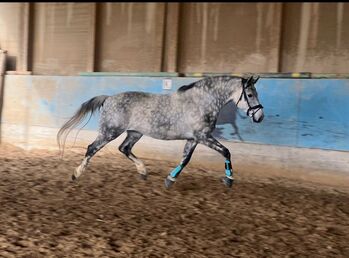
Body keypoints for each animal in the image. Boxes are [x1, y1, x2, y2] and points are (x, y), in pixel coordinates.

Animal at [57, 75, 262, 188]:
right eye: (250, 94)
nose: (259, 116)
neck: (201, 102)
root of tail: (108, 98)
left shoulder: (194, 139)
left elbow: (185, 159)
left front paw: (170, 180)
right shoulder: (203, 137)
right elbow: (226, 151)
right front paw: (229, 180)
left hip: (134, 133)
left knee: (124, 149)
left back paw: (143, 171)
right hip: (110, 131)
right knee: (92, 148)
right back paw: (76, 174)